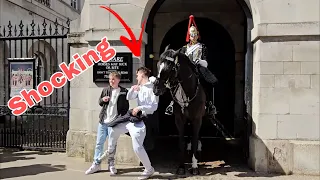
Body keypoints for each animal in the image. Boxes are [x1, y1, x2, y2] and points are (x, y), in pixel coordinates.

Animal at [153, 45, 208, 175]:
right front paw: (181, 166)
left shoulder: (197, 119)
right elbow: (181, 143)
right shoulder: (179, 119)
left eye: (170, 67)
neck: (188, 92)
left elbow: (195, 139)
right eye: (158, 65)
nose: (156, 89)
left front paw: (194, 166)